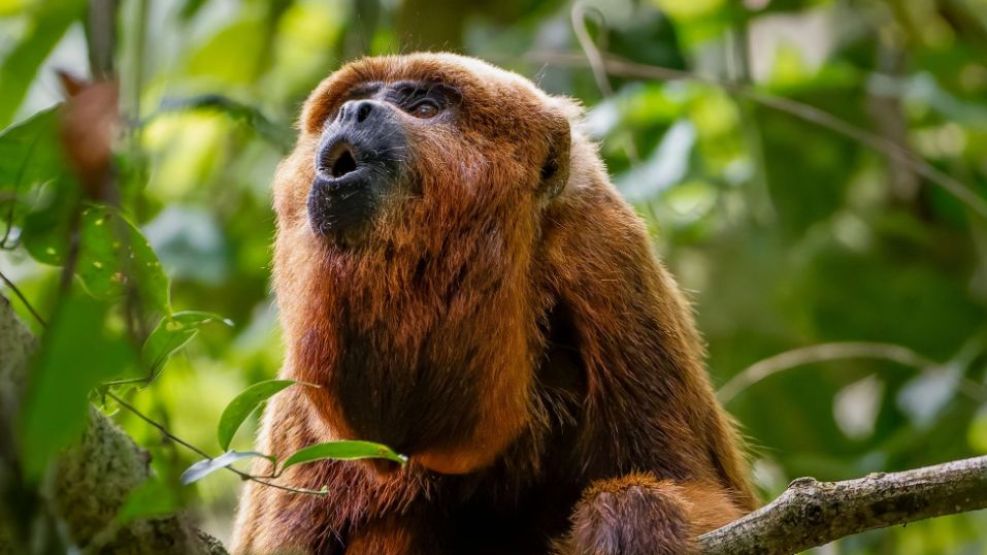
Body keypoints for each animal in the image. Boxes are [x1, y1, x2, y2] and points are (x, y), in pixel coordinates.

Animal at [231, 53, 756, 555]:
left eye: (426, 108)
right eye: (351, 101)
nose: (352, 111)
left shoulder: (609, 256)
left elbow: (696, 486)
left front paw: (632, 518)